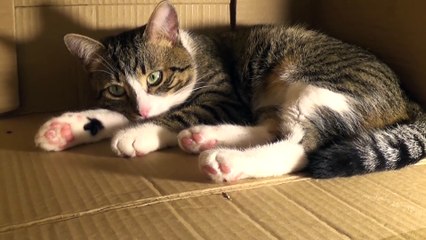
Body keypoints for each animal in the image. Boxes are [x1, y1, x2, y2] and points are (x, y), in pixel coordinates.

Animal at [34, 0, 426, 182]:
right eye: (116, 88)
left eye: (155, 78)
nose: (143, 111)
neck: (193, 53)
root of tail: (405, 95)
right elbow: (117, 115)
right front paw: (67, 127)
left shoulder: (224, 97)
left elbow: (181, 112)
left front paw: (139, 133)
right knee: (273, 127)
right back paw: (203, 138)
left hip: (321, 83)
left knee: (300, 146)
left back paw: (227, 159)